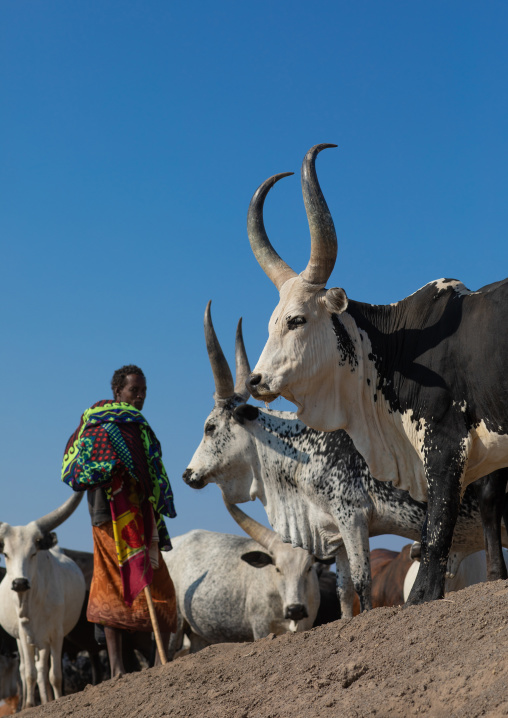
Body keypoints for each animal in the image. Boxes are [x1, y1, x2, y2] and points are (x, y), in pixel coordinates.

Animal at [0, 493, 86, 709]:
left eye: (34, 552)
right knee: (26, 669)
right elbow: (29, 673)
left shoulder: (56, 635)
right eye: (5, 554)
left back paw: (47, 698)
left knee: (43, 670)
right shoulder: (24, 635)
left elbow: (54, 675)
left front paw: (56, 699)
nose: (20, 582)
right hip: (22, 640)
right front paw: (29, 705)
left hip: (45, 640)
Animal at [164, 502, 320, 660]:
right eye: (277, 568)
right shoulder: (261, 626)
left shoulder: (307, 623)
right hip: (173, 626)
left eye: (309, 568)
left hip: (197, 634)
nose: (295, 609)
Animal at [183, 303, 508, 615]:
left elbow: (362, 583)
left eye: (210, 428)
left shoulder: (352, 515)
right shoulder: (335, 533)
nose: (188, 474)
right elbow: (343, 591)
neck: (301, 448)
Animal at [245, 143, 508, 604]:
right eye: (271, 323)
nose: (256, 382)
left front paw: (424, 595)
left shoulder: (446, 447)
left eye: (296, 320)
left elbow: (437, 531)